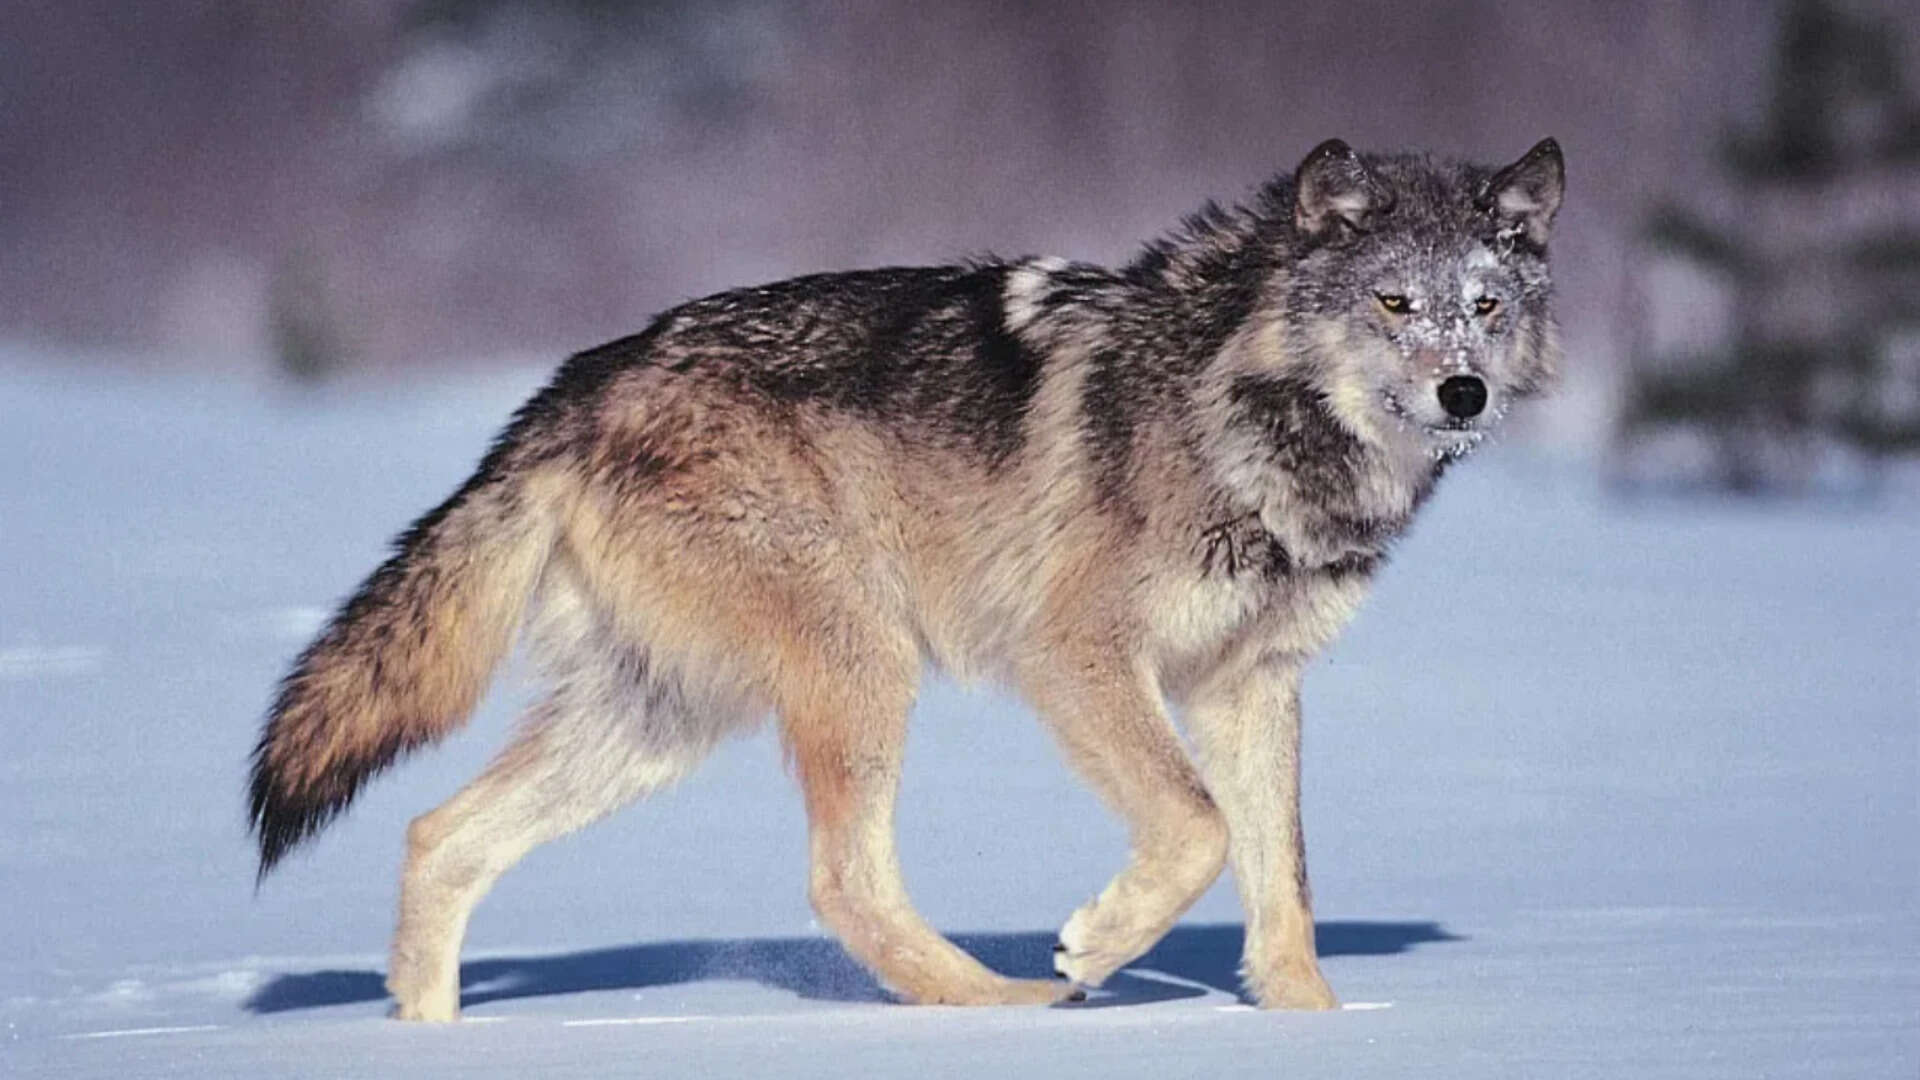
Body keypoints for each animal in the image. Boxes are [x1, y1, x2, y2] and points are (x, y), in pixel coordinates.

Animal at [248, 137, 1564, 1020]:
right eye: (1393, 303)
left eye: (1484, 307)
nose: (1464, 393)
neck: (1248, 421)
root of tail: (580, 382)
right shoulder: (1077, 655)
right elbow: (1195, 829)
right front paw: (1095, 949)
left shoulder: (1253, 681)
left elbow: (1278, 875)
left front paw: (1311, 1027)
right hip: (860, 663)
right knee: (842, 883)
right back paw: (1006, 1007)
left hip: (659, 723)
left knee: (436, 835)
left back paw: (426, 1037)